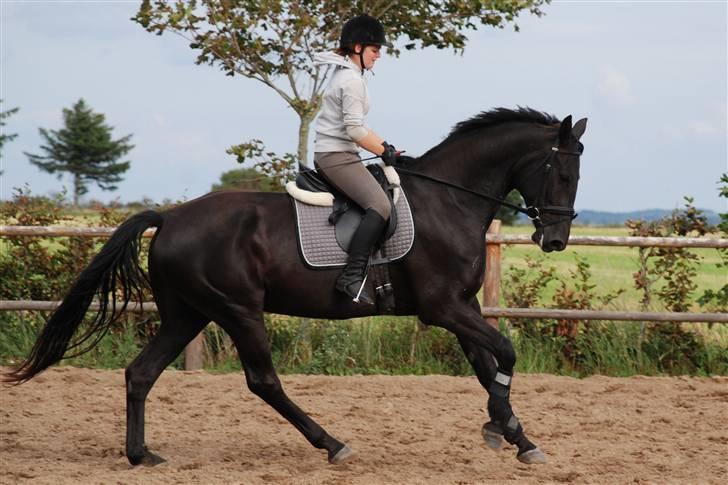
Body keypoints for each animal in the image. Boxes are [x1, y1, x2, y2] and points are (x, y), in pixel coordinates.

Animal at [4, 107, 584, 466]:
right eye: (561, 173)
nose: (554, 239)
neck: (450, 200)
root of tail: (169, 218)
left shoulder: (460, 306)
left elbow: (488, 367)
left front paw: (515, 437)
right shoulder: (442, 307)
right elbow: (505, 352)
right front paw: (503, 431)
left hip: (188, 313)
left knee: (140, 373)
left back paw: (141, 454)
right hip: (237, 309)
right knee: (264, 381)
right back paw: (333, 444)